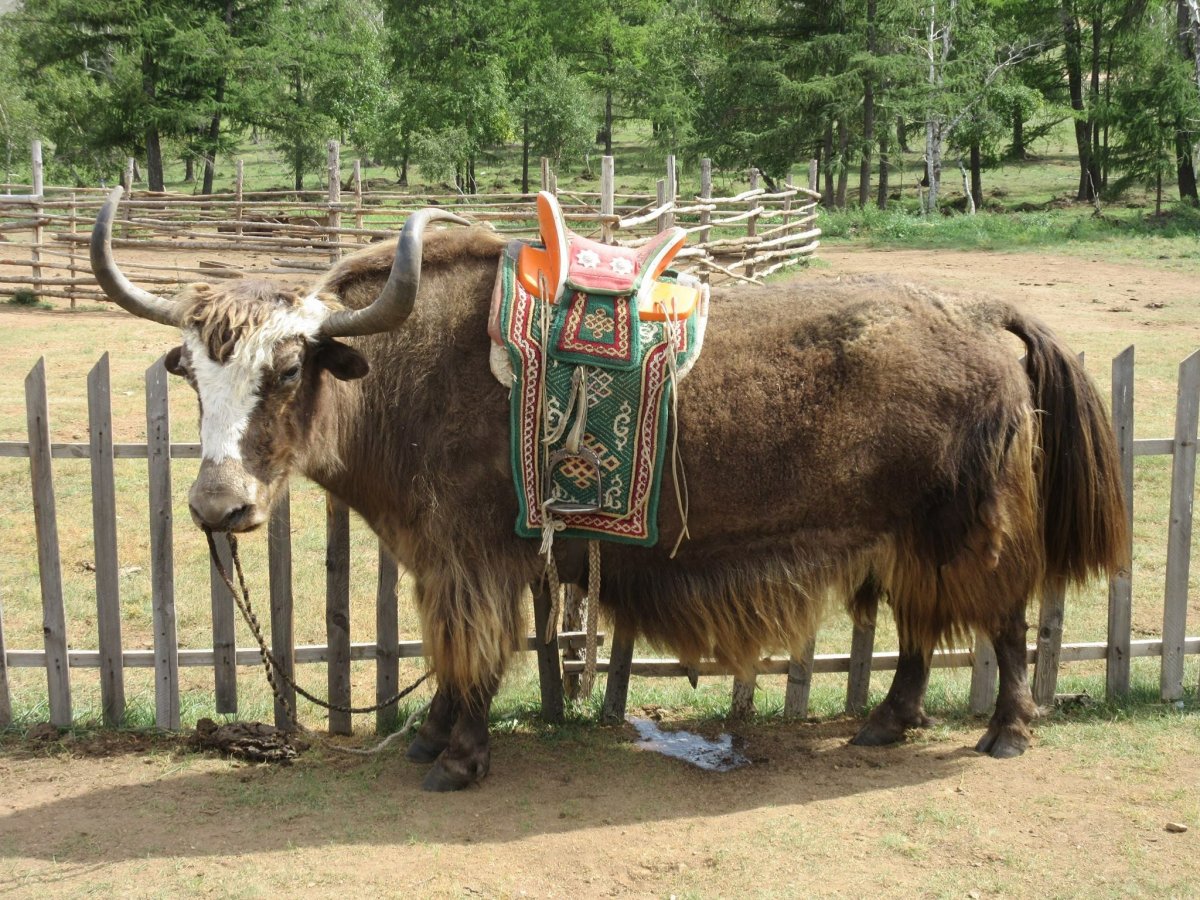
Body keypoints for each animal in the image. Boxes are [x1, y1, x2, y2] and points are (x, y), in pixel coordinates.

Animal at [90, 187, 1127, 791]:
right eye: (192, 371)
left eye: (288, 368)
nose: (217, 507)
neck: (399, 370)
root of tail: (984, 313)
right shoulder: (439, 560)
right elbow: (449, 651)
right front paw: (429, 736)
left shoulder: (470, 555)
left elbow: (472, 650)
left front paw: (457, 759)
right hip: (903, 530)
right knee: (917, 627)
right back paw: (884, 724)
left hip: (967, 524)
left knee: (1001, 616)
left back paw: (1005, 731)